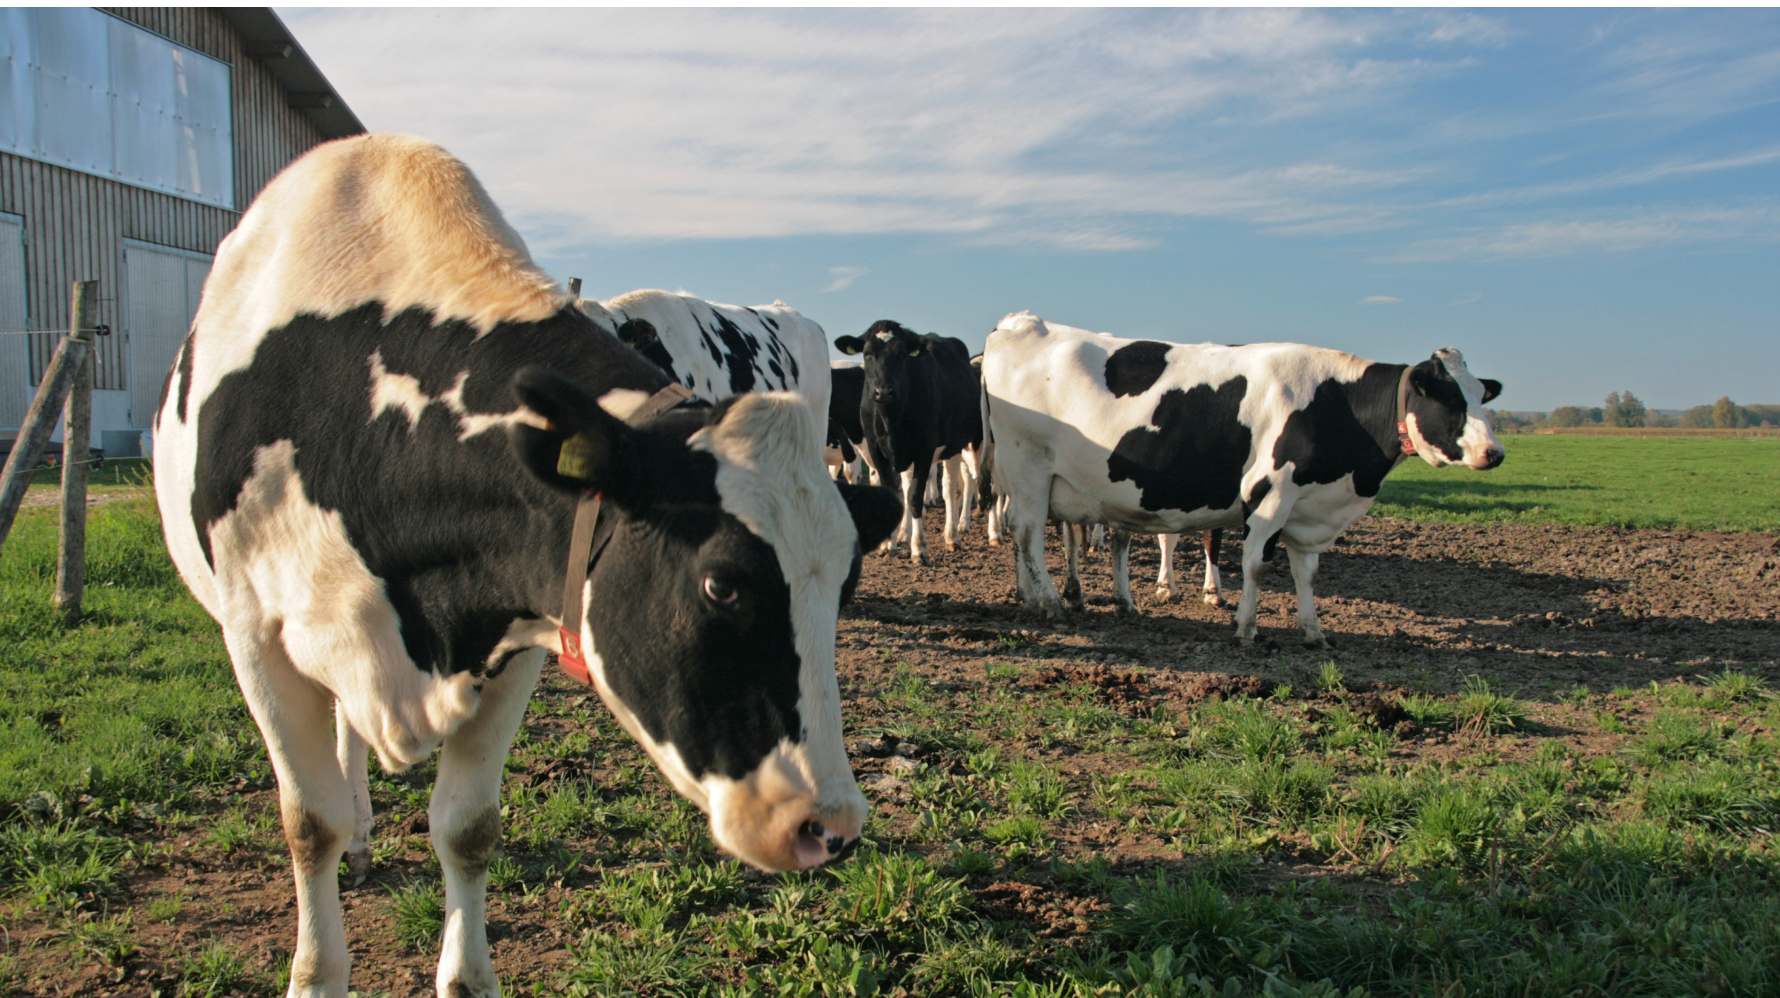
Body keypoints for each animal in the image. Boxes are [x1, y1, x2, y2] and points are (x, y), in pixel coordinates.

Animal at [836, 323, 982, 565]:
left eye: (902, 354)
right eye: (867, 354)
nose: (883, 392)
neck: (891, 420)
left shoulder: (925, 449)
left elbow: (915, 497)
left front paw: (920, 549)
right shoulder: (876, 449)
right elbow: (896, 493)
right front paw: (888, 544)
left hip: (956, 444)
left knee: (951, 488)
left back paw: (952, 536)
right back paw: (905, 535)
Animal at [989, 307, 1502, 647]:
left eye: (1481, 396)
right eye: (1449, 400)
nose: (1494, 453)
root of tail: (1020, 321)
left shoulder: (1306, 507)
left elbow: (1307, 572)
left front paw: (1313, 632)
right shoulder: (1270, 493)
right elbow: (1257, 564)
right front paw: (1247, 627)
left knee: (1020, 533)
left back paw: (1031, 598)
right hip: (1029, 464)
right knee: (1028, 532)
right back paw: (1051, 604)